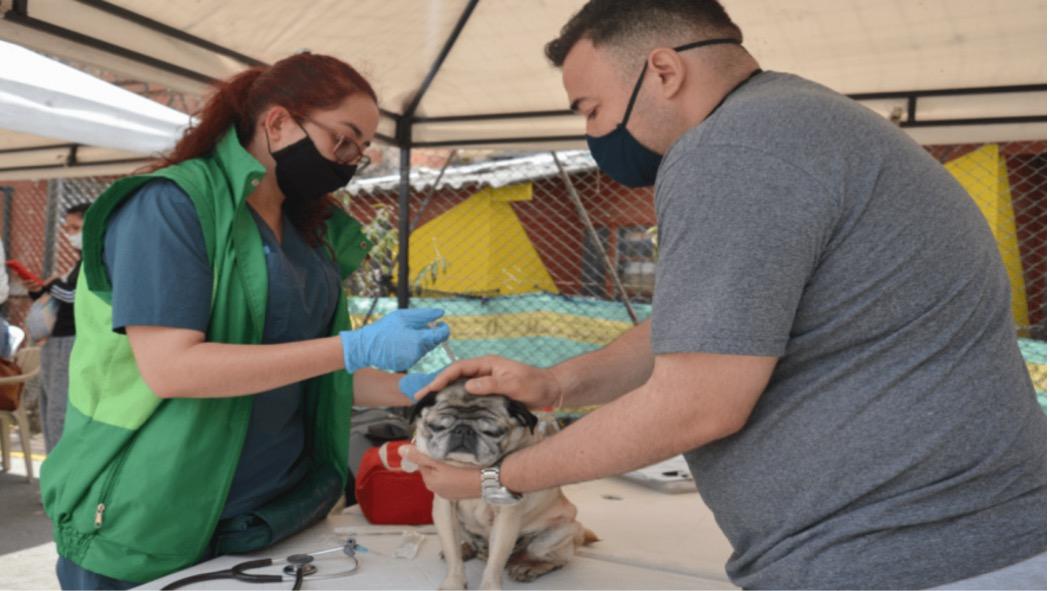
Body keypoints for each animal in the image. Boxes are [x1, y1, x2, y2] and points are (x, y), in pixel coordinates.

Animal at [409, 382, 600, 587]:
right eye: (437, 426)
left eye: (493, 432)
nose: (463, 430)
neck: (466, 466)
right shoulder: (444, 510)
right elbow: (453, 554)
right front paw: (454, 582)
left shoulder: (506, 518)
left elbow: (495, 562)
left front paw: (489, 586)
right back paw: (467, 549)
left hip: (557, 534)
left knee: (554, 559)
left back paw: (529, 567)